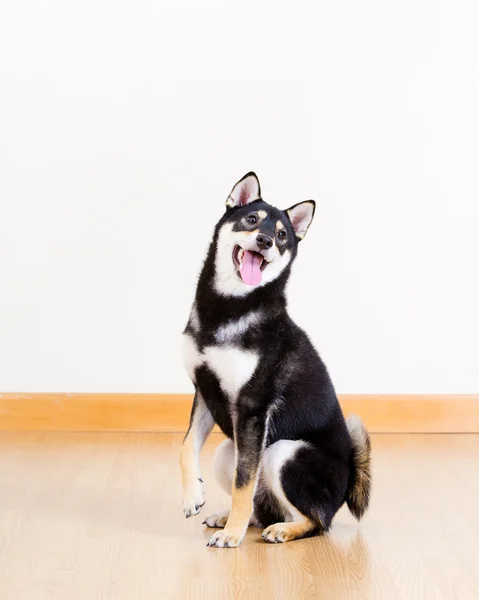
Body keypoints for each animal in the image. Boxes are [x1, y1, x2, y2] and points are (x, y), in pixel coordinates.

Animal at [180, 172, 372, 548]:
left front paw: (232, 536)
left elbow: (243, 482)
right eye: (251, 219)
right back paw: (234, 518)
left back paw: (281, 529)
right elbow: (185, 447)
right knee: (263, 506)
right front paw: (193, 495)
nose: (266, 240)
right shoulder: (205, 391)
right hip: (229, 450)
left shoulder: (252, 406)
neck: (232, 305)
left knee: (315, 521)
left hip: (283, 452)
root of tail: (347, 484)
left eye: (283, 235)